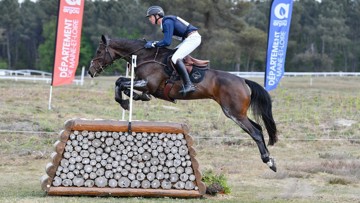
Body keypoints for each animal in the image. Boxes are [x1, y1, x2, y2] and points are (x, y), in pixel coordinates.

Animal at [87, 34, 278, 171]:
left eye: (98, 52)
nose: (90, 71)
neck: (144, 55)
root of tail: (243, 81)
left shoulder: (149, 84)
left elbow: (120, 82)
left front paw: (126, 102)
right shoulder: (144, 84)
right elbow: (121, 82)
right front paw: (132, 98)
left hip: (234, 112)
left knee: (255, 132)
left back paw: (269, 162)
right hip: (238, 113)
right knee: (258, 128)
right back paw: (270, 159)